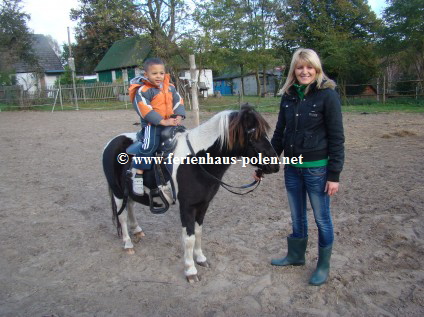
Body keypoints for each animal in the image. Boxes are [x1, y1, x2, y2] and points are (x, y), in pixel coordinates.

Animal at [102, 104, 282, 282]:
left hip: (130, 192)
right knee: (122, 216)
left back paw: (137, 230)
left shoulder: (203, 204)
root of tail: (112, 142)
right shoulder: (187, 206)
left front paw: (200, 258)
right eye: (253, 134)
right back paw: (128, 243)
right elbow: (189, 238)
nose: (275, 164)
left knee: (130, 206)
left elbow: (198, 232)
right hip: (118, 192)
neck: (196, 160)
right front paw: (190, 270)